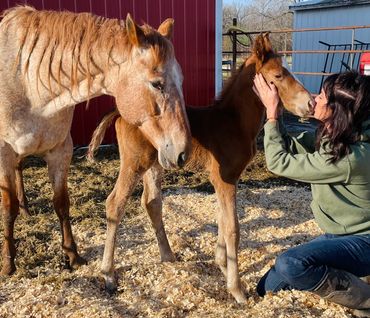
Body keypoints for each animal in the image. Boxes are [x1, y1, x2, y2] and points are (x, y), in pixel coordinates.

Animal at [0, 6, 191, 276]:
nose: (183, 151)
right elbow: (8, 209)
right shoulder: (4, 153)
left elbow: (61, 203)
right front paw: (8, 263)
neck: (28, 83)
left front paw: (72, 255)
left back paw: (27, 208)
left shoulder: (61, 151)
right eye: (157, 84)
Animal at [88, 33, 314, 304]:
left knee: (151, 202)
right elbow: (233, 228)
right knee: (115, 203)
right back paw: (109, 275)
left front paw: (222, 265)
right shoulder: (224, 177)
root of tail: (121, 112)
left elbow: (223, 219)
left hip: (155, 164)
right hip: (135, 162)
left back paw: (168, 256)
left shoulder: (226, 179)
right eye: (278, 75)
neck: (234, 122)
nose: (310, 103)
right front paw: (237, 290)